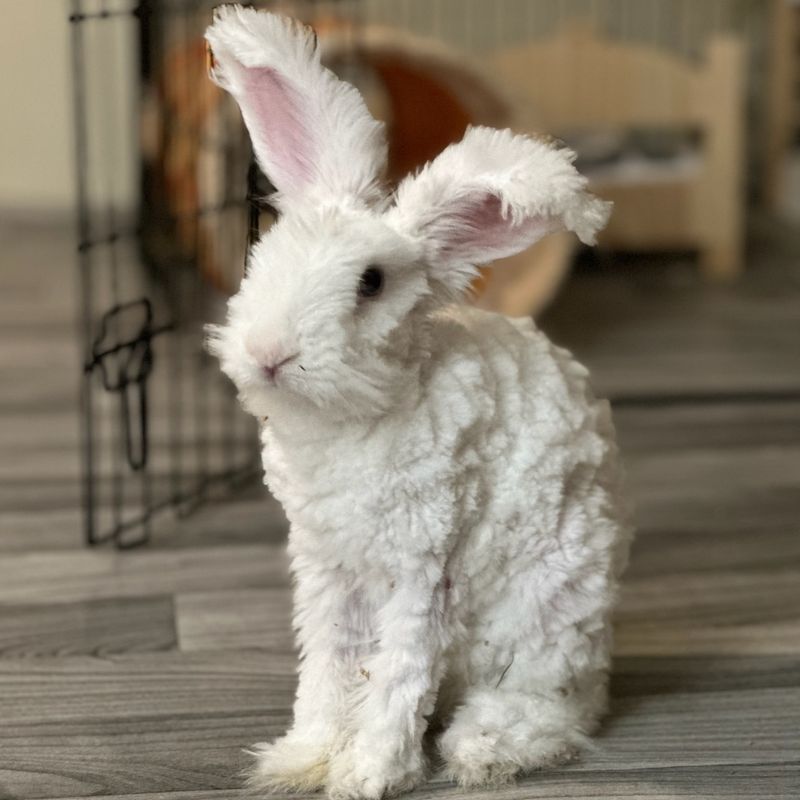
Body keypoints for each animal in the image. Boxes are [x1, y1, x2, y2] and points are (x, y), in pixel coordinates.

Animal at [205, 7, 632, 800]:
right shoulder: (328, 573)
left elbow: (399, 676)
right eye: (272, 250)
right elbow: (330, 668)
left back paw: (485, 749)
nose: (271, 352)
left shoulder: (423, 569)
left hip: (546, 615)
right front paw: (302, 757)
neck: (358, 412)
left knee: (556, 710)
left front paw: (367, 774)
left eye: (371, 282)